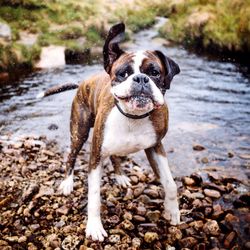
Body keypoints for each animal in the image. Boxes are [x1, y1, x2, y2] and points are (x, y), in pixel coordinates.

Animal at [38, 23, 181, 240]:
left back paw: (120, 177)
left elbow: (170, 184)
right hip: (79, 133)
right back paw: (68, 183)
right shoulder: (96, 157)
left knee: (115, 157)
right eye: (123, 73)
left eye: (155, 72)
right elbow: (94, 196)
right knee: (71, 156)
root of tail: (83, 82)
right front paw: (94, 226)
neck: (133, 117)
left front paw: (172, 211)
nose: (141, 78)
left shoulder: (156, 147)